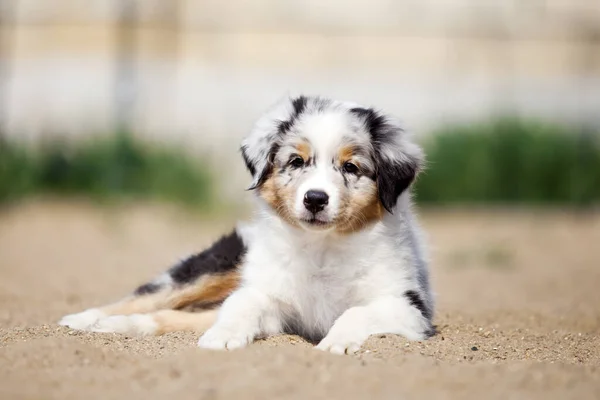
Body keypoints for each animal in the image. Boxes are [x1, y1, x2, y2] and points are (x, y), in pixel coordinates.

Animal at [59, 95, 436, 354]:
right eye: (296, 161)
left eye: (351, 167)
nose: (315, 199)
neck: (322, 249)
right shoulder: (270, 296)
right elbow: (244, 304)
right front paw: (224, 336)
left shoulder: (409, 305)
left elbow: (356, 312)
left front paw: (336, 342)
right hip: (219, 263)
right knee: (150, 297)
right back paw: (85, 319)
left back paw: (117, 325)